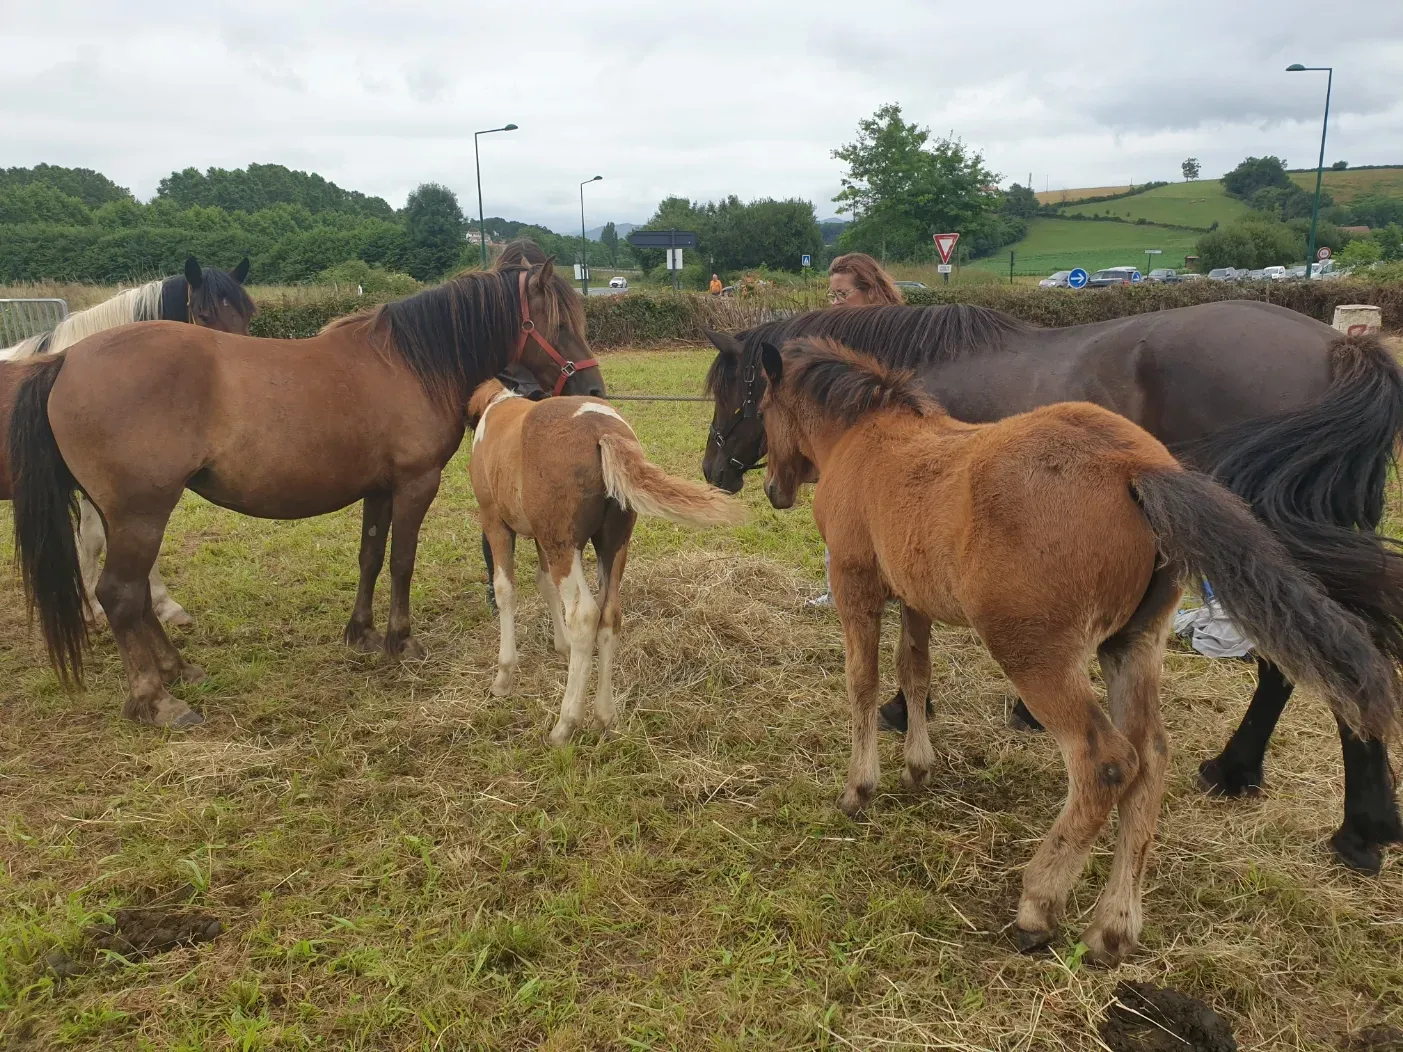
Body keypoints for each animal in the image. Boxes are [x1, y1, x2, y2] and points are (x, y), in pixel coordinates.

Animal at [466, 380, 742, 745]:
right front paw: (562, 647)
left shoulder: (495, 522)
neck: (497, 408)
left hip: (565, 546)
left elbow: (505, 590)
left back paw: (565, 725)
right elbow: (545, 584)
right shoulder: (541, 537)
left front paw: (503, 677)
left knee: (585, 615)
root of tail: (602, 430)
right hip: (611, 546)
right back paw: (604, 716)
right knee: (609, 615)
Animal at [755, 336, 1397, 966]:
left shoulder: (855, 583)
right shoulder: (914, 597)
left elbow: (862, 681)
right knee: (1151, 757)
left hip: (1036, 654)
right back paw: (1113, 927)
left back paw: (1039, 906)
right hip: (1132, 646)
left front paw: (858, 788)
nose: (771, 489)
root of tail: (1138, 466)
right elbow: (913, 672)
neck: (869, 439)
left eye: (759, 407)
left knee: (1105, 761)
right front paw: (918, 767)